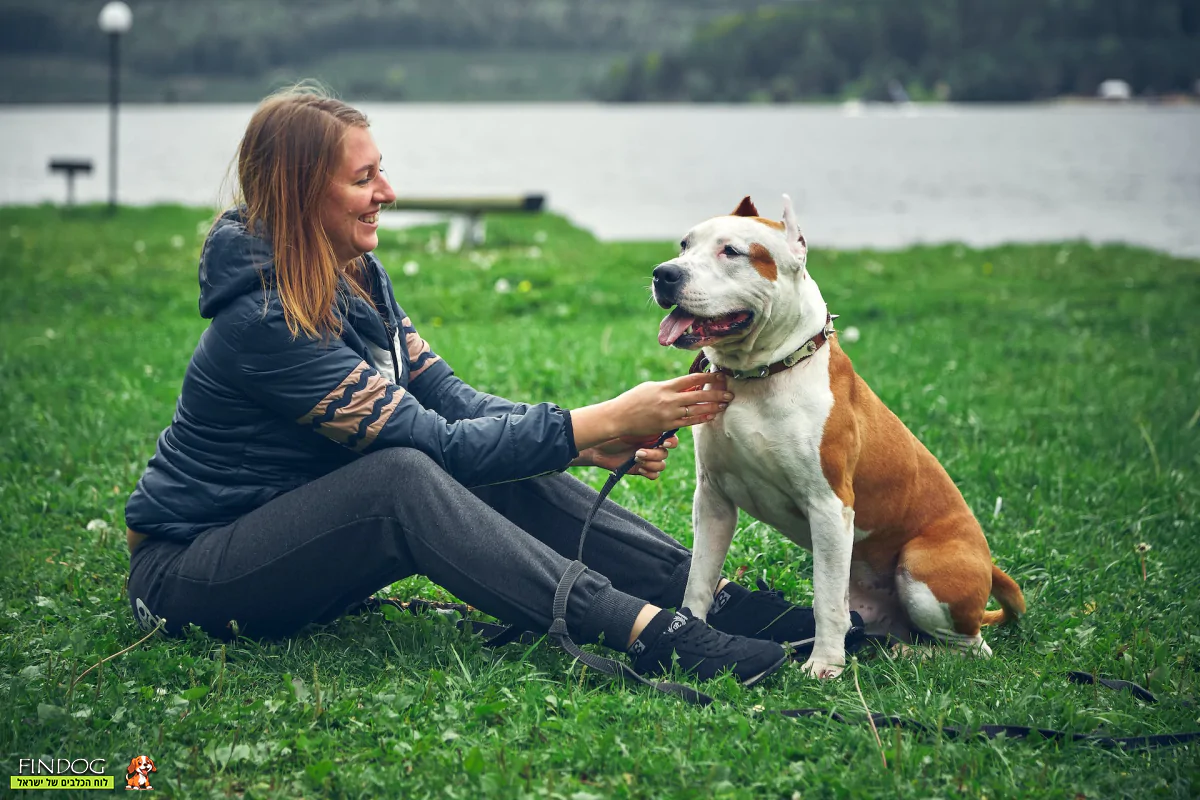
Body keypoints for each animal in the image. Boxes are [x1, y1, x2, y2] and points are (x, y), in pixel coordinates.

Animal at [657, 196, 1022, 681]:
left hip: (922, 568)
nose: (664, 273)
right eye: (684, 245)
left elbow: (826, 598)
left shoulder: (829, 506)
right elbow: (699, 578)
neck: (760, 375)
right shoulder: (713, 498)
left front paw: (824, 666)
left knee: (973, 649)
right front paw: (691, 629)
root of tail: (989, 567)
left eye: (731, 251)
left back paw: (911, 655)